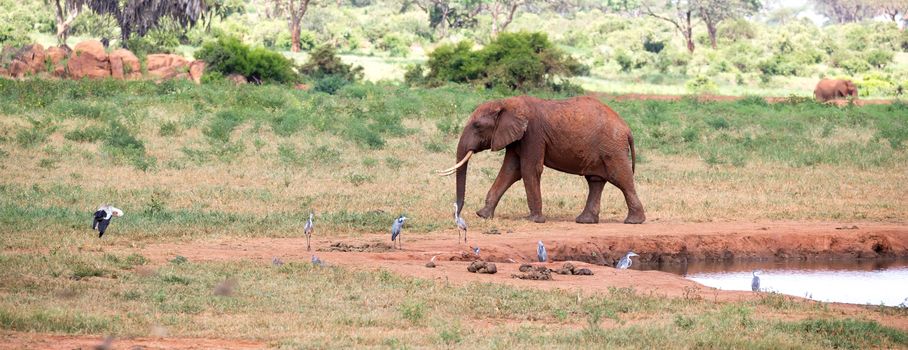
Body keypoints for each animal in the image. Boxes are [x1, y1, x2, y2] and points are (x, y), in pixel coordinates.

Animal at [438, 95, 644, 224]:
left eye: (477, 125)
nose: (457, 216)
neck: (508, 102)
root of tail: (627, 129)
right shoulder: (517, 138)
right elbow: (510, 171)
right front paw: (483, 215)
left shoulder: (533, 134)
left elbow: (529, 170)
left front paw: (534, 220)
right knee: (595, 181)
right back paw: (585, 221)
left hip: (613, 148)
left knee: (621, 178)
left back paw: (633, 221)